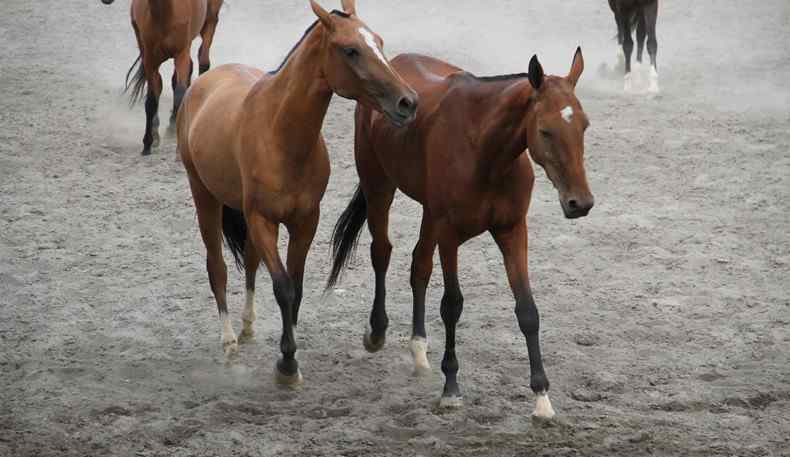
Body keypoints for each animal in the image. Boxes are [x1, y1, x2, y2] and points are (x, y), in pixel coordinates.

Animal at [102, 0, 224, 155]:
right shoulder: (150, 59)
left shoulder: (181, 53)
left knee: (203, 61)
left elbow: (179, 93)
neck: (164, 12)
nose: (106, 1)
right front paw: (148, 142)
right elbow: (152, 99)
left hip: (210, 19)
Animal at [176, 0, 418, 384]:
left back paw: (247, 327)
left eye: (378, 41)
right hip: (204, 197)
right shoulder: (263, 220)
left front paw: (287, 352)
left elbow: (297, 287)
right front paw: (287, 365)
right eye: (351, 50)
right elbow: (283, 287)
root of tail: (204, 85)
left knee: (250, 261)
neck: (280, 134)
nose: (408, 102)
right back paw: (229, 343)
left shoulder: (305, 222)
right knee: (217, 267)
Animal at [328, 48, 592, 416]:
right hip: (379, 186)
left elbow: (527, 309)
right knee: (381, 252)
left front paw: (542, 398)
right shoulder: (449, 235)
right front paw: (451, 387)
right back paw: (377, 332)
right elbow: (452, 305)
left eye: (584, 125)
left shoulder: (512, 230)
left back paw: (419, 348)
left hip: (429, 213)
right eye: (545, 130)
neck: (485, 150)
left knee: (419, 266)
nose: (580, 202)